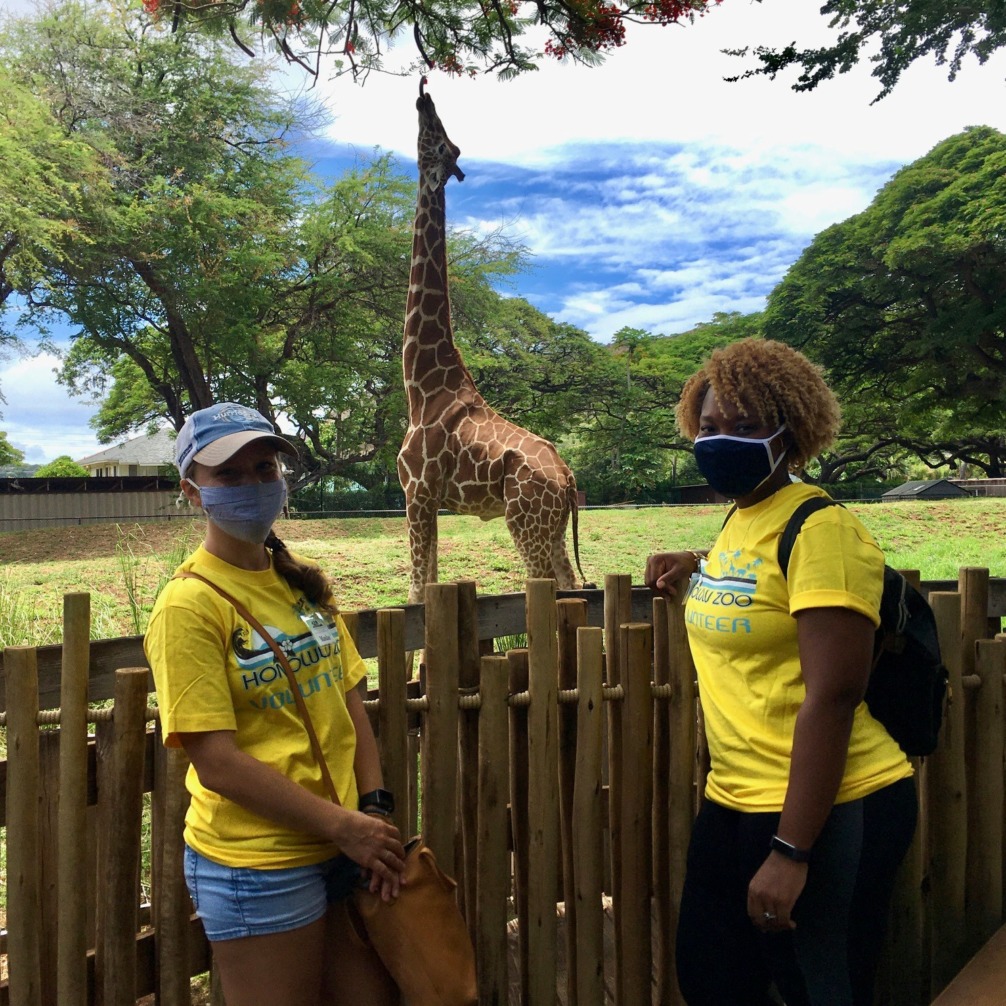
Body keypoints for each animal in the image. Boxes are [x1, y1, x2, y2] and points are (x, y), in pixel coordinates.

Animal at [398, 82, 587, 599]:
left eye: (442, 144)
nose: (423, 95)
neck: (420, 388)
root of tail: (568, 477)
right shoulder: (428, 500)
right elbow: (430, 583)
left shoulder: (416, 492)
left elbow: (416, 591)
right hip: (551, 527)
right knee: (572, 583)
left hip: (525, 521)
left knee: (544, 586)